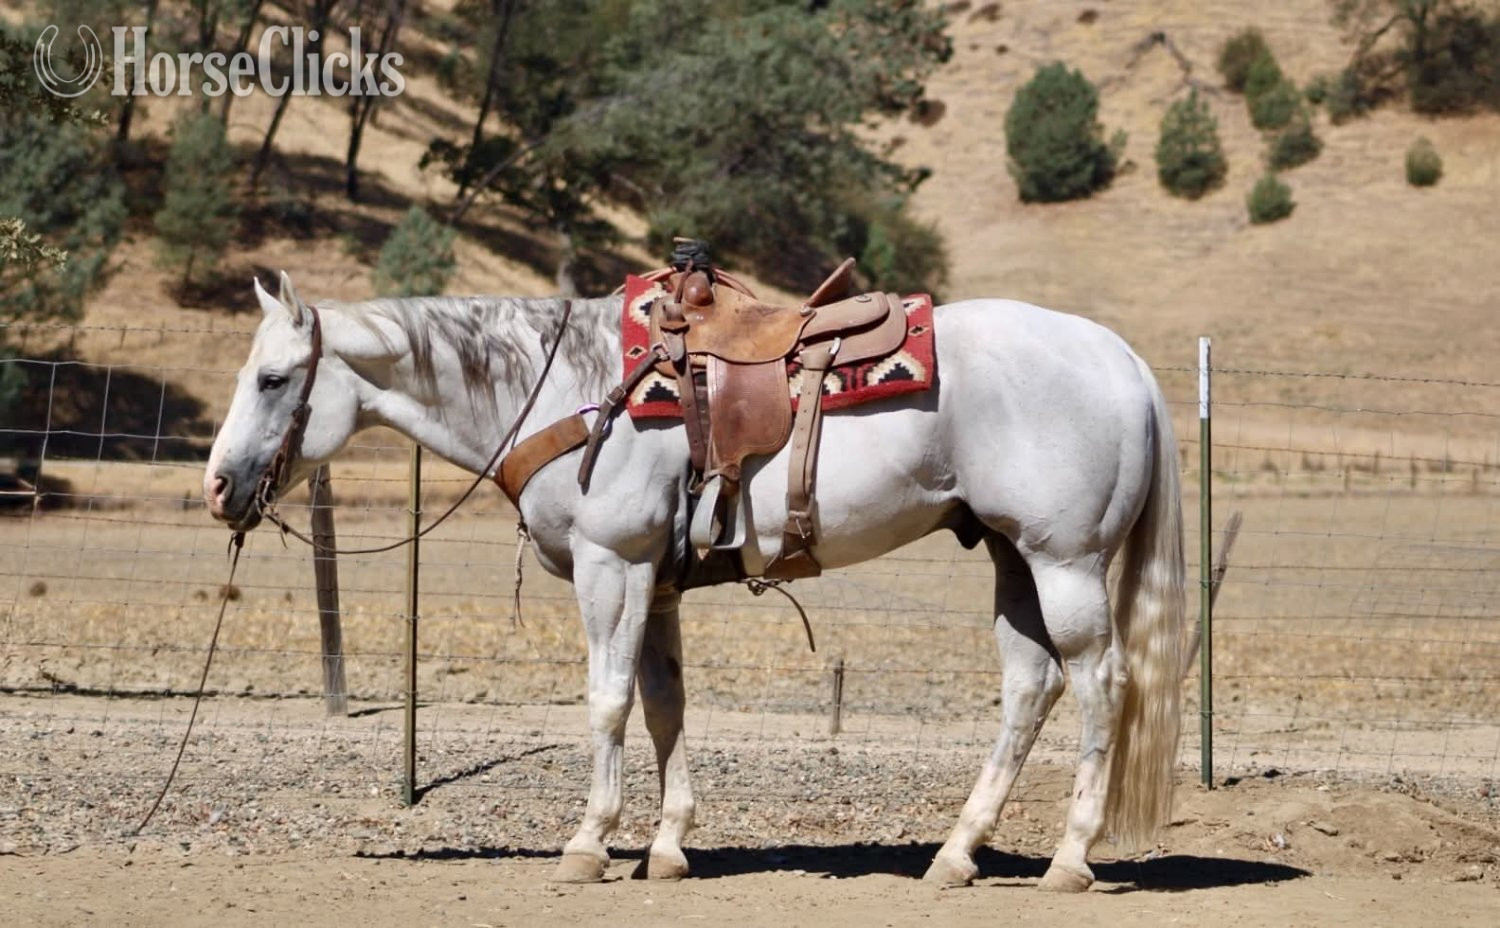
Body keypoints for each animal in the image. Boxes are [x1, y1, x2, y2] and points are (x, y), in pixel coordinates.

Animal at [204, 271, 1185, 891]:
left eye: (274, 378)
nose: (217, 486)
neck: (565, 387)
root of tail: (1125, 361)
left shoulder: (611, 567)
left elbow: (607, 703)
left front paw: (589, 843)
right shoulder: (657, 579)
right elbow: (665, 706)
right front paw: (668, 845)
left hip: (1065, 562)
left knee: (1099, 683)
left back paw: (1069, 859)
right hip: (1015, 559)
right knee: (1029, 688)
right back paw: (955, 854)